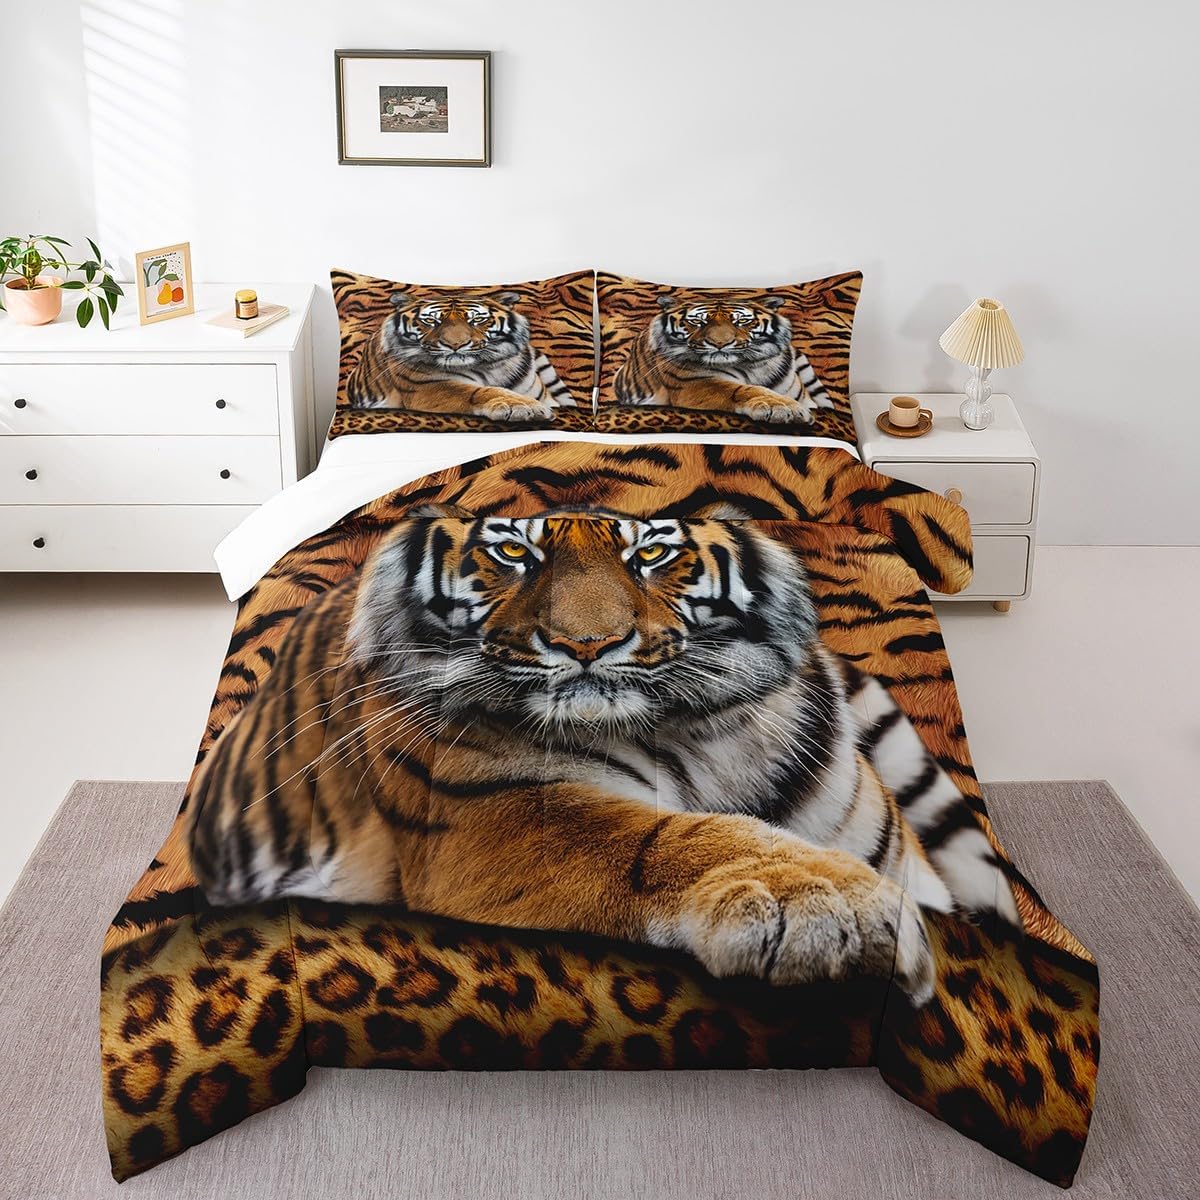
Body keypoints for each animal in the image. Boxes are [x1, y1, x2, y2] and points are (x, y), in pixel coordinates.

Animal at [187, 506, 1017, 1007]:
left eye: (652, 553)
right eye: (512, 552)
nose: (586, 645)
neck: (697, 738)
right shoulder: (489, 818)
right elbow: (658, 838)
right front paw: (835, 908)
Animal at [346, 290, 574, 421]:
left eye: (477, 320)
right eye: (431, 321)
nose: (455, 345)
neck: (491, 368)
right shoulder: (426, 387)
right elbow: (477, 391)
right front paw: (523, 407)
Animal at [613, 295, 833, 423]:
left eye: (742, 321)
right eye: (697, 322)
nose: (719, 343)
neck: (754, 367)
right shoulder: (692, 384)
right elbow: (741, 389)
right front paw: (784, 408)